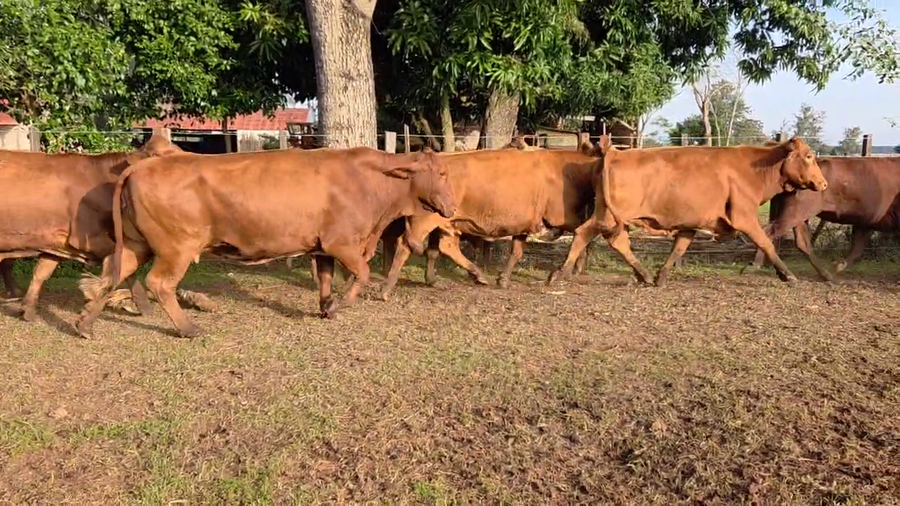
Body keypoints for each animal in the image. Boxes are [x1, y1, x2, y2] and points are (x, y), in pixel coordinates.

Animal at [74, 145, 457, 339]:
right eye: (441, 172)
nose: (452, 207)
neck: (368, 180)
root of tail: (141, 166)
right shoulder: (342, 242)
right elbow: (361, 274)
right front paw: (339, 306)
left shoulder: (321, 246)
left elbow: (325, 279)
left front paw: (326, 307)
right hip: (176, 248)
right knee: (160, 283)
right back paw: (189, 328)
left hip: (136, 244)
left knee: (112, 275)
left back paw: (84, 324)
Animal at [378, 145, 599, 300]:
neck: (564, 169)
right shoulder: (561, 216)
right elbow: (582, 233)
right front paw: (567, 270)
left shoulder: (523, 223)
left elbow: (516, 252)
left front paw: (503, 279)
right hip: (425, 221)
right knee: (406, 245)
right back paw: (387, 288)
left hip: (445, 222)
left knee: (440, 248)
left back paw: (457, 277)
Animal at [547, 135, 829, 286]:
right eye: (808, 156)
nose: (823, 183)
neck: (755, 169)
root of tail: (613, 154)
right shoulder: (744, 218)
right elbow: (766, 244)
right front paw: (788, 275)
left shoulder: (691, 223)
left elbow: (679, 248)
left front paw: (661, 276)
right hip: (606, 215)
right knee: (583, 233)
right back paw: (559, 272)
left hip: (610, 215)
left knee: (617, 241)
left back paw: (644, 274)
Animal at [746, 156, 900, 279]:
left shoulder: (865, 223)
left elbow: (857, 248)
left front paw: (839, 266)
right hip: (794, 214)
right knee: (769, 231)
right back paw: (758, 266)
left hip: (799, 216)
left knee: (803, 243)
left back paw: (825, 275)